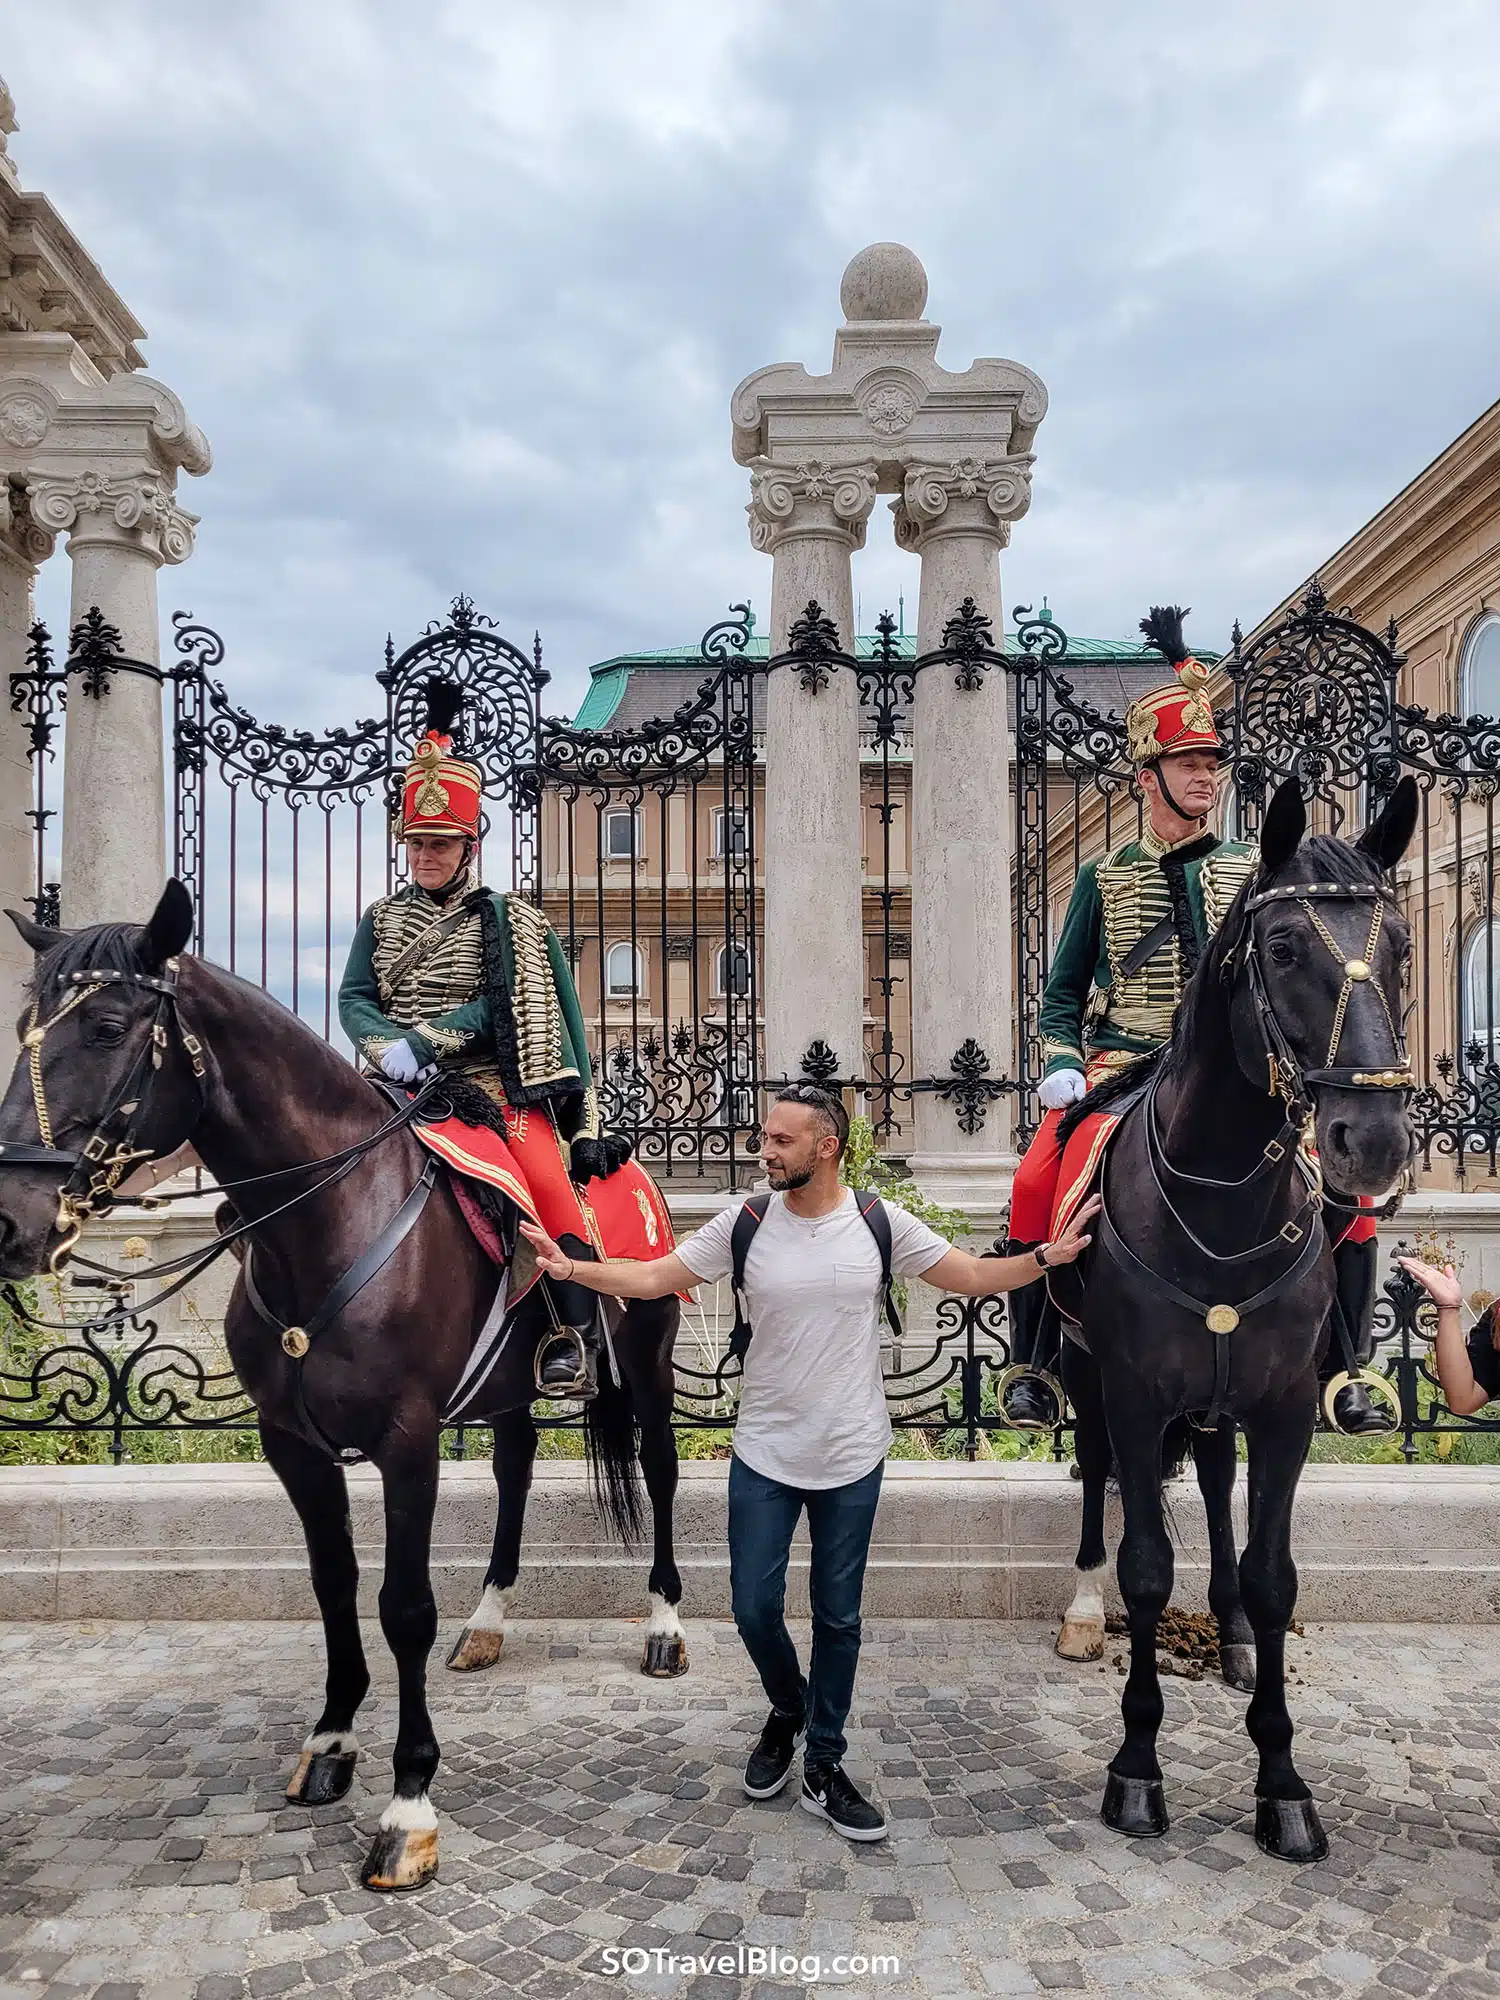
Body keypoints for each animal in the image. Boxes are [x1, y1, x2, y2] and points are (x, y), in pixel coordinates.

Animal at [0, 892, 688, 1888]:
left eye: (106, 1027)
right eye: (23, 1026)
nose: (9, 1219)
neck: (323, 1217)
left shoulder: (407, 1440)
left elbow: (403, 1605)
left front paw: (409, 1803)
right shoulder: (291, 1444)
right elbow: (333, 1584)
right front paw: (330, 1741)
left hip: (647, 1353)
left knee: (662, 1470)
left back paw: (665, 1624)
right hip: (506, 1391)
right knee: (515, 1472)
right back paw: (489, 1619)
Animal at [1056, 776, 1424, 1856]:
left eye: (1400, 944)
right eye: (1285, 947)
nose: (1371, 1140)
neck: (1220, 1193)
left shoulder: (1287, 1406)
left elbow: (1271, 1570)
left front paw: (1283, 1780)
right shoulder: (1136, 1395)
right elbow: (1143, 1566)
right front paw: (1137, 1766)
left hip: (1224, 1401)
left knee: (1219, 1484)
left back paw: (1228, 1636)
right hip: (1089, 1380)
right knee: (1095, 1481)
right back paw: (1083, 1608)